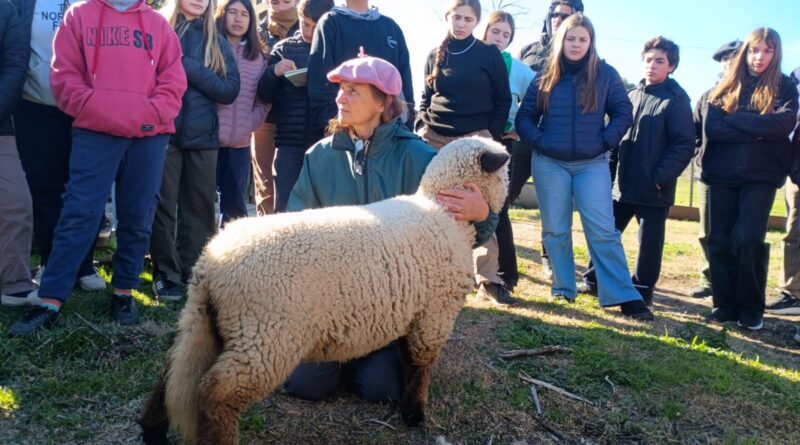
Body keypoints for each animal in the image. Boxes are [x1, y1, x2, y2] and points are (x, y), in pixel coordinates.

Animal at [138, 137, 510, 445]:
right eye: (505, 172)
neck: (444, 214)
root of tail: (210, 265)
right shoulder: (436, 313)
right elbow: (420, 363)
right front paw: (414, 413)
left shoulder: (419, 312)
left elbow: (408, 358)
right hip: (267, 334)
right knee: (217, 392)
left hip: (209, 323)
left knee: (174, 375)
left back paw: (152, 431)